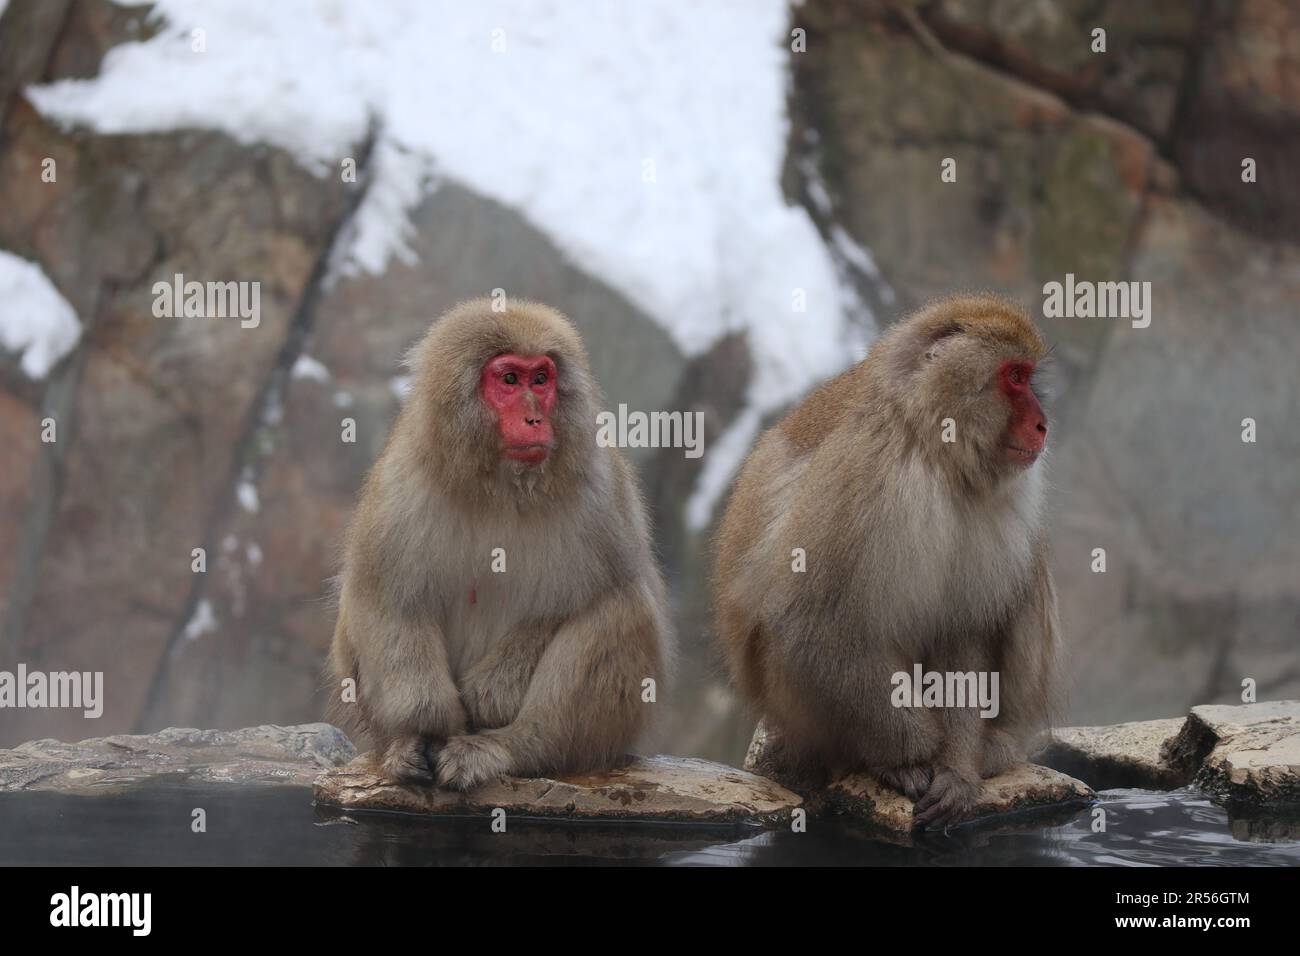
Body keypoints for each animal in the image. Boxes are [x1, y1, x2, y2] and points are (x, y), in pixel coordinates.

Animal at [330, 299, 670, 790]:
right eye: (509, 379)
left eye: (541, 379)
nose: (535, 419)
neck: (501, 489)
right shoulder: (399, 487)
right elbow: (385, 597)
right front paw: (426, 726)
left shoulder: (603, 493)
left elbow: (586, 596)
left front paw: (492, 692)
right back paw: (399, 747)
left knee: (622, 609)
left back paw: (511, 749)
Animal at [717, 297, 1060, 832]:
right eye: (1016, 377)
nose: (1043, 423)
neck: (932, 446)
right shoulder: (865, 475)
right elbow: (815, 627)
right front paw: (911, 757)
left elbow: (963, 631)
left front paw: (956, 769)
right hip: (798, 715)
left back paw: (994, 749)